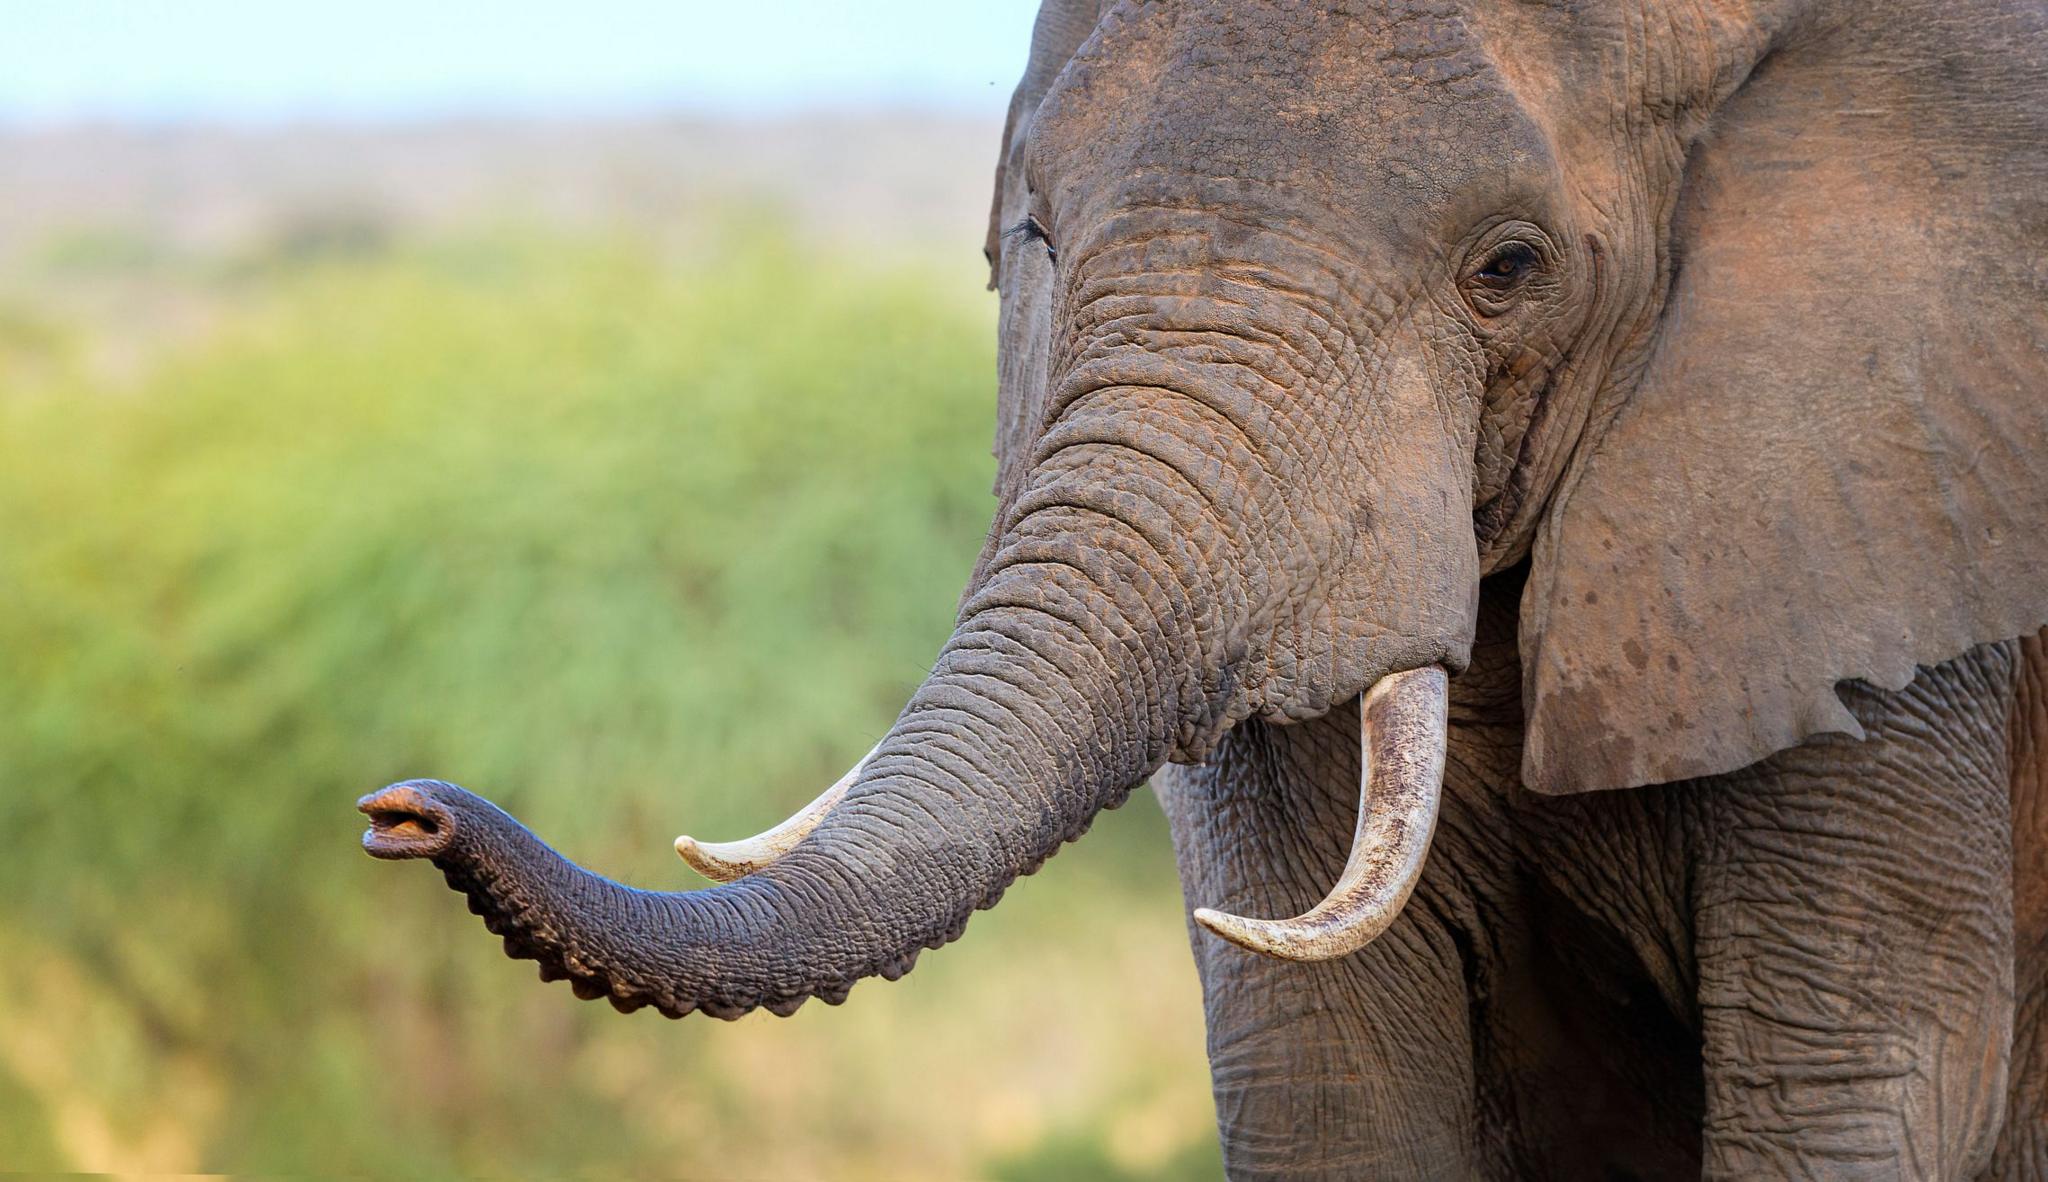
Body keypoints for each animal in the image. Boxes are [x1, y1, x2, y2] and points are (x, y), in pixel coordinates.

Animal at [356, 4, 2048, 1171]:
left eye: (1509, 269)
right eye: (1034, 231)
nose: (400, 811)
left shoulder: (1900, 544)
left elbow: (1852, 1083)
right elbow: (1325, 1083)